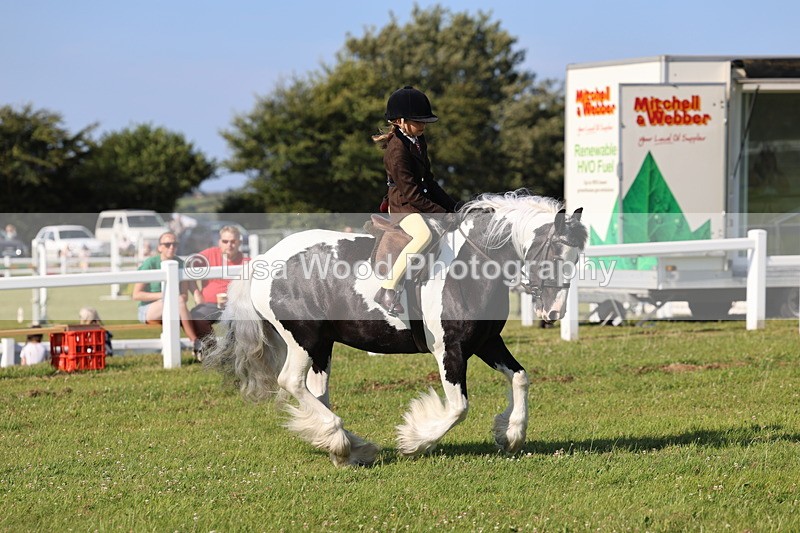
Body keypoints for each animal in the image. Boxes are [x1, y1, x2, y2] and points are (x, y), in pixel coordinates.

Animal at [204, 190, 587, 466]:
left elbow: (520, 377)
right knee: (292, 383)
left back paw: (347, 448)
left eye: (576, 258)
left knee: (315, 390)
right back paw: (342, 441)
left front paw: (510, 434)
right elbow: (458, 407)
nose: (553, 311)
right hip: (304, 339)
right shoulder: (451, 350)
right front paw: (414, 441)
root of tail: (262, 260)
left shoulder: (486, 341)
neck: (472, 265)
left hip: (322, 346)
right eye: (555, 253)